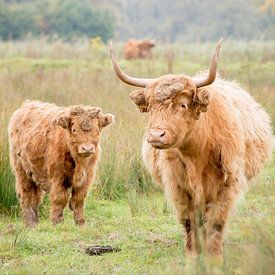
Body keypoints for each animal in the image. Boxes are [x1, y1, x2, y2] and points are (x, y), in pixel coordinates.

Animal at [111, 41, 274, 258]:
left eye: (183, 105)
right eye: (151, 107)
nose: (155, 135)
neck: (197, 153)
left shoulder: (228, 184)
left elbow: (217, 220)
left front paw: (214, 255)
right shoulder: (178, 186)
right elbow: (189, 220)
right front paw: (192, 253)